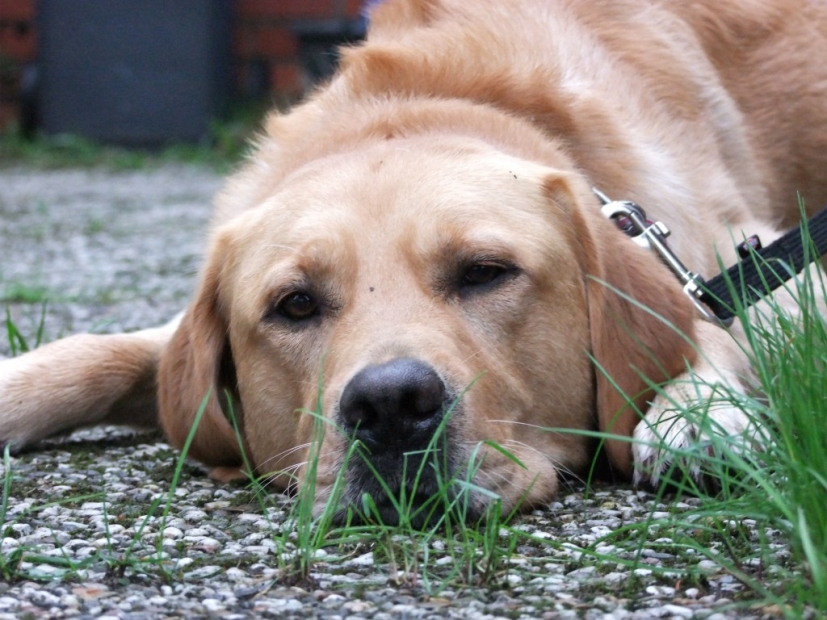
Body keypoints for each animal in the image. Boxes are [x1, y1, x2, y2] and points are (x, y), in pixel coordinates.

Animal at [1, 0, 827, 524]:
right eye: (294, 304)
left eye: (486, 272)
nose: (391, 406)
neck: (422, 102)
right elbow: (94, 354)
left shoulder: (754, 254)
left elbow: (710, 319)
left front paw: (698, 410)